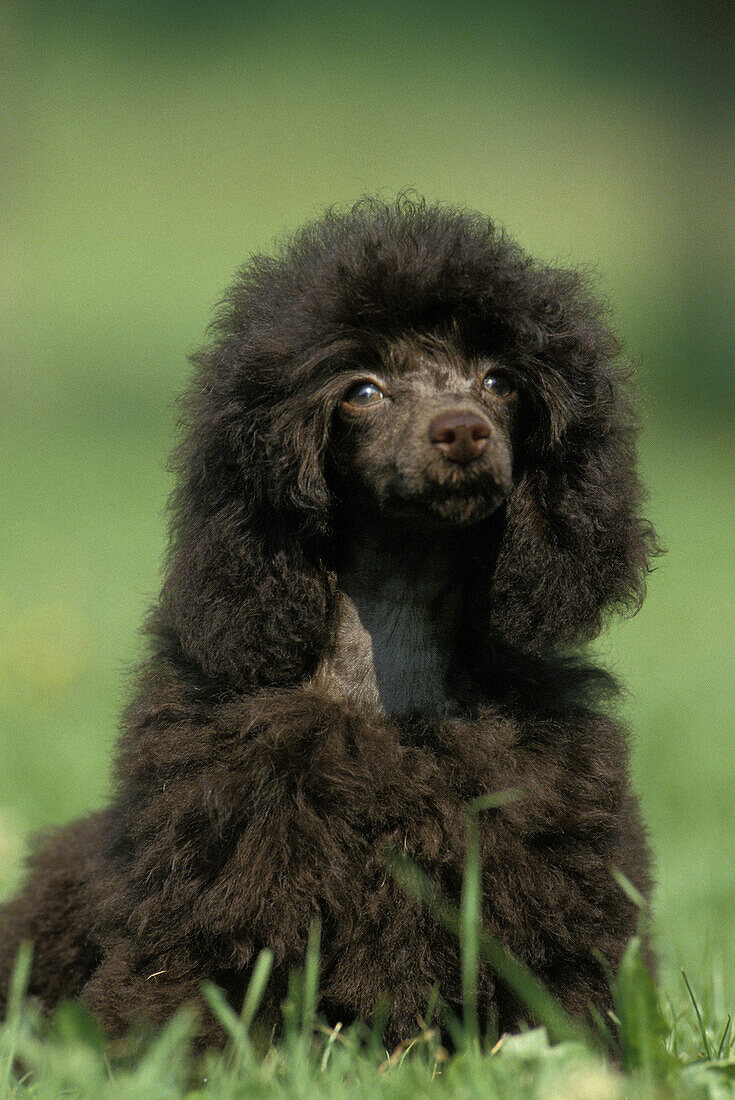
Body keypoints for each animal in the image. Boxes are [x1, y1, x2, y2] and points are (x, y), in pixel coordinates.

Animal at [0, 198, 655, 1047]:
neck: (395, 634)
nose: (462, 430)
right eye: (363, 392)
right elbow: (184, 989)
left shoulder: (541, 861)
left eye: (499, 380)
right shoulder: (218, 866)